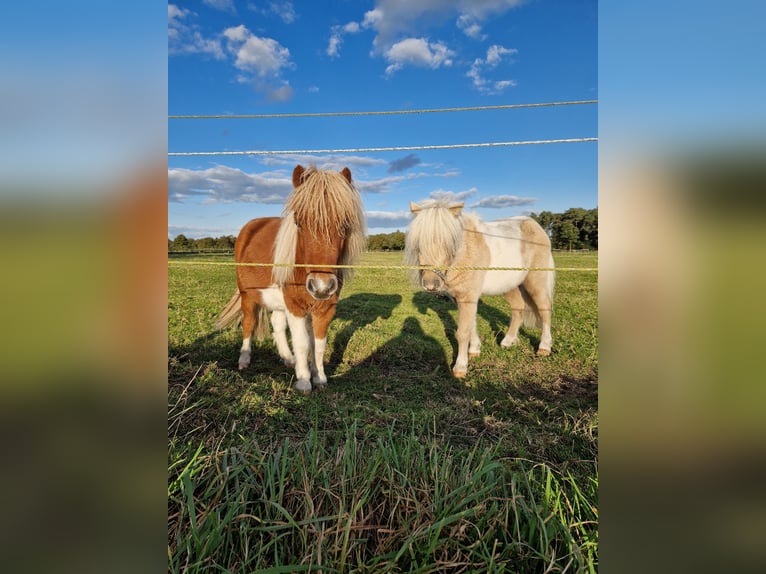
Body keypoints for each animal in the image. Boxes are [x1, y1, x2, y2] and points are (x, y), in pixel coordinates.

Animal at [214, 164, 368, 394]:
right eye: (299, 224)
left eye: (344, 225)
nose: (321, 287)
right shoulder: (295, 306)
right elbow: (303, 343)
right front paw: (303, 381)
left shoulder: (325, 308)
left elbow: (318, 344)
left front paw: (319, 377)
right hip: (247, 295)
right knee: (249, 323)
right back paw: (244, 359)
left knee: (277, 324)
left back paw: (288, 358)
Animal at [404, 200, 556, 380]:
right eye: (418, 244)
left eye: (449, 243)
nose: (430, 285)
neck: (465, 253)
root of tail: (536, 227)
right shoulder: (463, 298)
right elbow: (471, 326)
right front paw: (474, 351)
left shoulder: (468, 297)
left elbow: (463, 332)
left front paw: (460, 367)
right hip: (510, 286)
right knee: (518, 309)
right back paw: (507, 341)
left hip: (535, 282)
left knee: (545, 309)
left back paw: (544, 347)